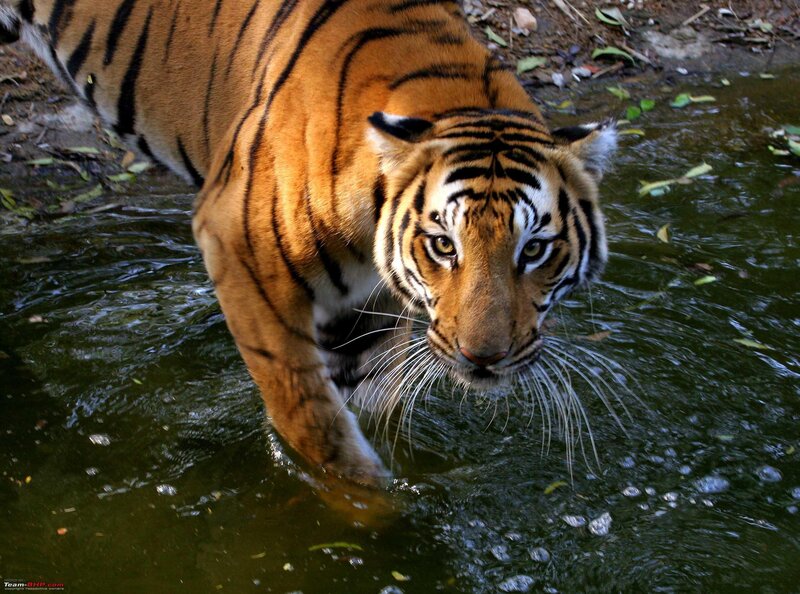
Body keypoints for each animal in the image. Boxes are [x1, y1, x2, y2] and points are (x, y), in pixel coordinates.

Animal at [0, 0, 616, 487]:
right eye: (444, 246)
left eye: (533, 250)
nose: (482, 359)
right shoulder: (237, 251)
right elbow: (316, 425)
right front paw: (375, 518)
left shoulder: (363, 308)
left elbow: (366, 403)